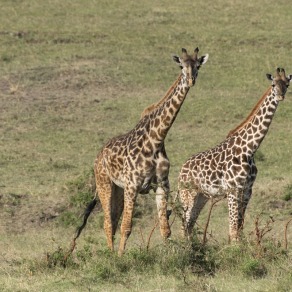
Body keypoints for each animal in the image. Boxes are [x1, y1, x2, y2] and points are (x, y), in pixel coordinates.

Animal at [76, 46, 208, 256]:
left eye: (197, 66)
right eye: (181, 66)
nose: (191, 81)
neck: (156, 139)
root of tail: (98, 157)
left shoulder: (162, 185)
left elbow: (165, 229)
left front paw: (171, 256)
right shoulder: (133, 186)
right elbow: (127, 227)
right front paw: (121, 258)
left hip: (118, 189)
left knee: (113, 220)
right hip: (105, 184)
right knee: (108, 223)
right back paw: (111, 256)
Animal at [177, 68, 290, 242]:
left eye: (287, 84)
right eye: (273, 84)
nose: (280, 96)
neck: (249, 149)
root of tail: (180, 172)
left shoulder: (247, 190)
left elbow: (240, 229)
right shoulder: (233, 190)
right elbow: (233, 230)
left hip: (202, 196)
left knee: (189, 225)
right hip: (187, 194)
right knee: (183, 226)